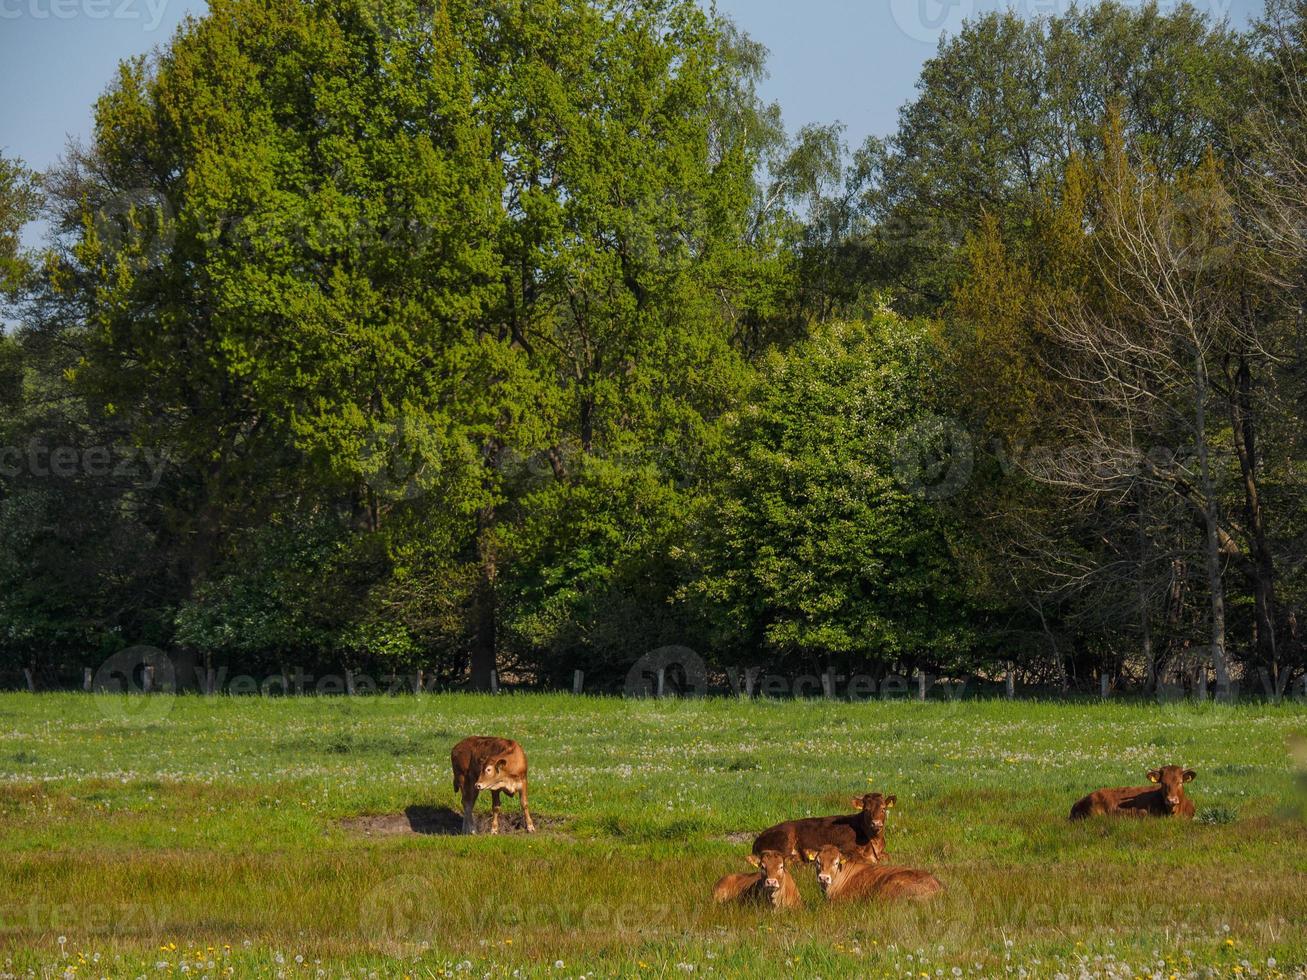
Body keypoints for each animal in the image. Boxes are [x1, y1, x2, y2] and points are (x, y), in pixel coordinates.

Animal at [752, 794, 893, 862]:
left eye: (883, 808)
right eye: (866, 809)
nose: (876, 824)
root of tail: (758, 838)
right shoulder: (847, 848)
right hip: (785, 839)